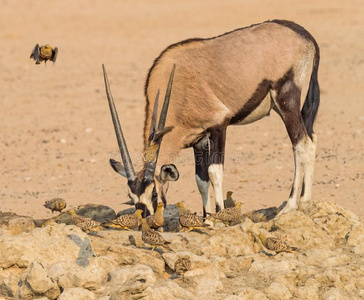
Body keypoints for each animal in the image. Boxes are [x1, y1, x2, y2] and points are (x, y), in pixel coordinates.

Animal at [104, 19, 320, 219]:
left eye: (154, 193)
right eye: (131, 197)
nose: (145, 218)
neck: (178, 86)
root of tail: (303, 34)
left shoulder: (218, 126)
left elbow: (214, 172)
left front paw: (219, 214)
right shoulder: (198, 140)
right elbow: (201, 180)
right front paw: (206, 217)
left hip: (286, 100)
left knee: (302, 145)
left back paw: (291, 205)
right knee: (311, 139)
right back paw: (305, 202)